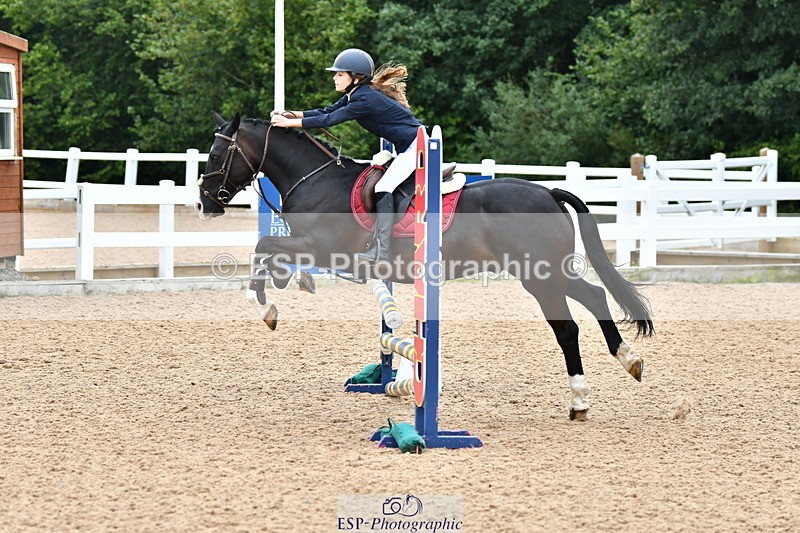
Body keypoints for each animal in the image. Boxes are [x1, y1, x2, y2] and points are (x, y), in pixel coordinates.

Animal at [195, 111, 654, 420]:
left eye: (217, 153)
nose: (204, 203)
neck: (317, 180)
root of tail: (548, 192)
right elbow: (270, 250)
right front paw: (286, 287)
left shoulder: (321, 247)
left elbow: (264, 246)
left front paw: (267, 308)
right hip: (550, 272)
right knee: (595, 295)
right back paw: (628, 359)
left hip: (538, 278)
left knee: (567, 328)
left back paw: (579, 399)